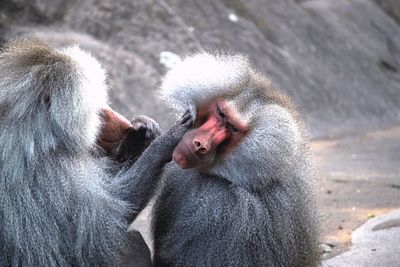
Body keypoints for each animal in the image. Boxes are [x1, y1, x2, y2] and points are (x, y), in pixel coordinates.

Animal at [0, 38, 194, 266]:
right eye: (98, 111)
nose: (126, 125)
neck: (36, 130)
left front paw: (141, 135)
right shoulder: (55, 171)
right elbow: (105, 226)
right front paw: (166, 141)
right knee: (128, 240)